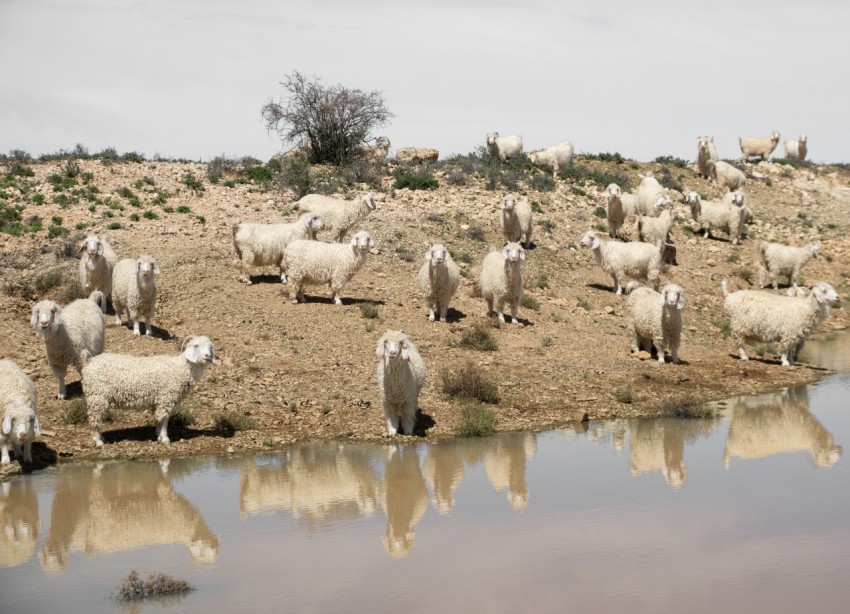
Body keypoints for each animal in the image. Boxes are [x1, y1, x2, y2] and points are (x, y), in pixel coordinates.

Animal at [81, 335, 215, 447]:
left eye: (210, 347)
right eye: (196, 345)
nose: (207, 356)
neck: (180, 368)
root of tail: (89, 361)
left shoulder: (158, 401)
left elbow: (158, 419)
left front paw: (158, 435)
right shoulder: (166, 397)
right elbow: (164, 419)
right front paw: (165, 438)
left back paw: (101, 438)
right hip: (97, 397)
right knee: (94, 419)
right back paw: (98, 441)